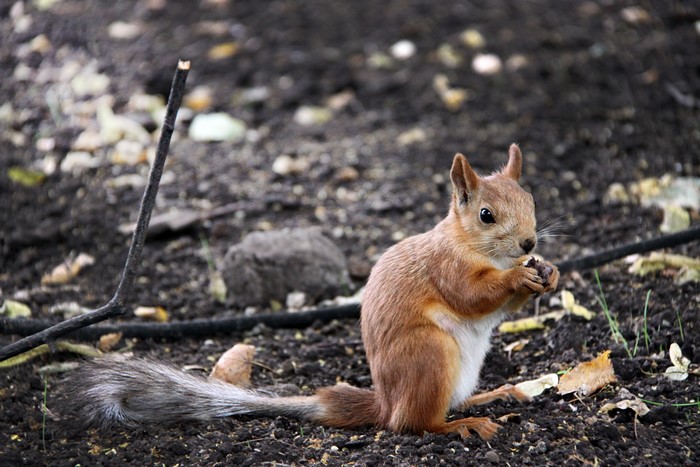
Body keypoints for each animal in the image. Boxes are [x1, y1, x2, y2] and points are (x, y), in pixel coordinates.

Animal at [73, 144, 559, 440]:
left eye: (531, 201)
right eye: (485, 215)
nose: (529, 244)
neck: (469, 245)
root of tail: (385, 401)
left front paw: (548, 273)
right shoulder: (446, 268)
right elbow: (470, 296)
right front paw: (517, 279)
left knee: (444, 405)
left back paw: (493, 395)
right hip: (429, 355)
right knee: (411, 423)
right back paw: (463, 424)